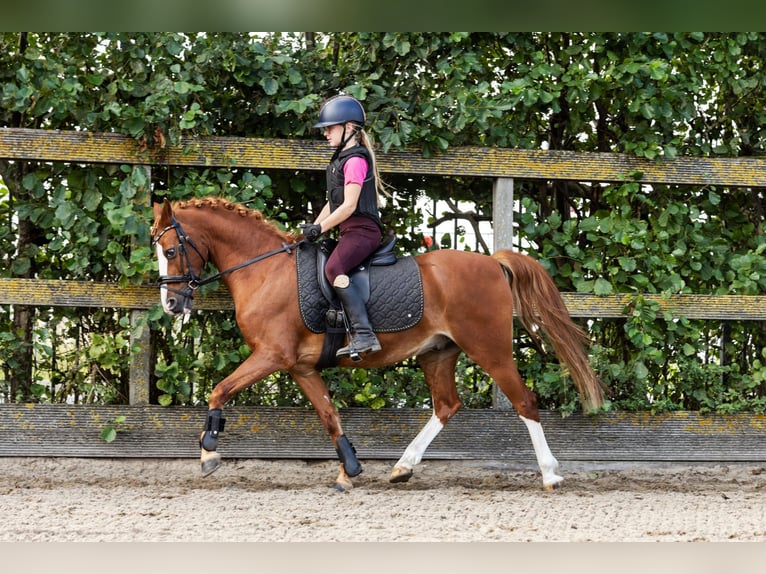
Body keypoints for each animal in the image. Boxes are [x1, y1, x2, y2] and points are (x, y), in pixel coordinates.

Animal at [150, 197, 608, 490]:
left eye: (170, 251)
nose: (172, 303)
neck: (265, 270)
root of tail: (493, 262)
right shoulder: (300, 366)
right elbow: (330, 415)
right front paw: (349, 470)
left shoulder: (272, 355)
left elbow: (220, 389)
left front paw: (209, 452)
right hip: (437, 353)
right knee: (447, 405)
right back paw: (403, 467)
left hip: (489, 349)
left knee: (524, 401)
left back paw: (550, 474)